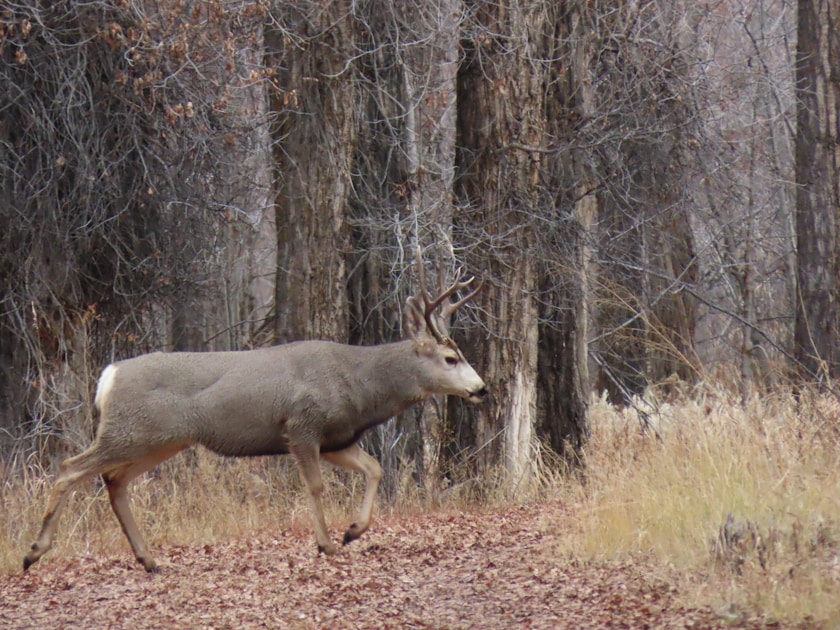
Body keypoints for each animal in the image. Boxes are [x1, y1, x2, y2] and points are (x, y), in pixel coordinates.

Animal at [23, 259, 487, 573]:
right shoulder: (301, 426)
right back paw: (34, 552)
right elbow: (316, 486)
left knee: (113, 481)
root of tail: (108, 376)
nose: (481, 388)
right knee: (70, 468)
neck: (358, 383)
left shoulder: (337, 439)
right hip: (131, 431)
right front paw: (327, 543)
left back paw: (148, 559)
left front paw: (353, 530)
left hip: (158, 440)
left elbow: (373, 468)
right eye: (450, 358)